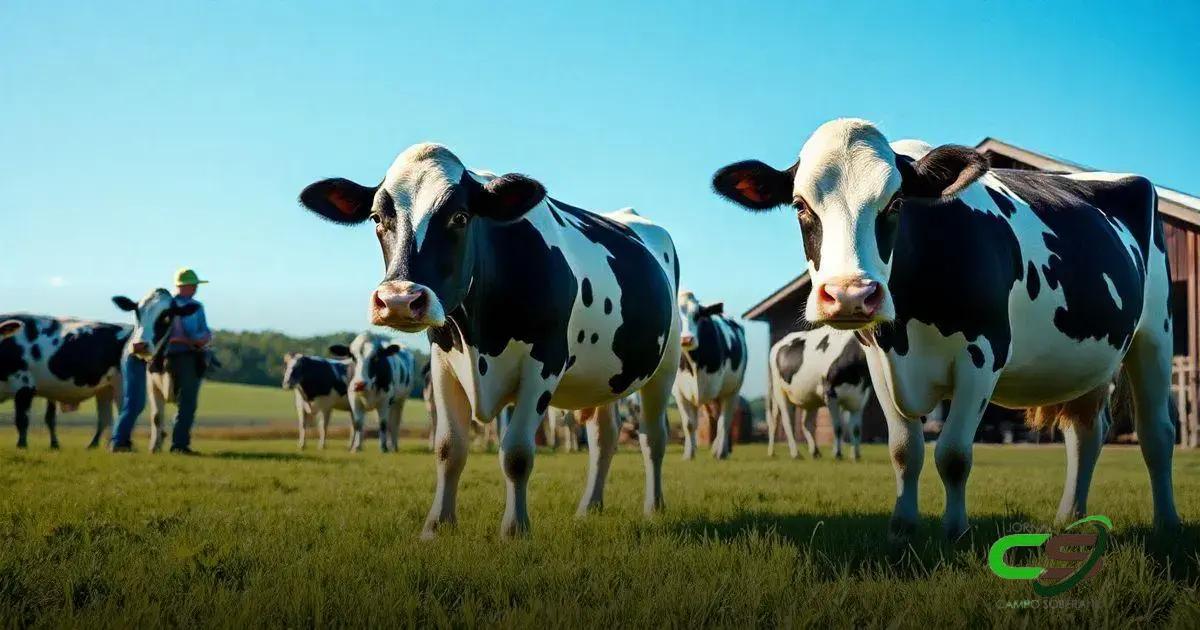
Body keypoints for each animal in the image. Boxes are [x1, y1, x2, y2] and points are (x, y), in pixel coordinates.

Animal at [0, 314, 130, 448]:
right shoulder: (49, 392)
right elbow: (50, 418)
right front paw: (54, 445)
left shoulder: (24, 386)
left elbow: (22, 419)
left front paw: (22, 445)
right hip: (105, 389)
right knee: (105, 418)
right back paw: (93, 445)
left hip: (122, 385)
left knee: (123, 413)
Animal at [112, 289, 202, 451]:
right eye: (137, 312)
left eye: (167, 316)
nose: (139, 345)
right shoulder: (151, 385)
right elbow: (156, 417)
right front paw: (154, 447)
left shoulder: (186, 386)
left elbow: (182, 414)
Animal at [298, 142, 680, 538]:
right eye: (376, 217)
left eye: (460, 217)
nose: (399, 300)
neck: (479, 335)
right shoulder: (442, 363)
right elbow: (448, 448)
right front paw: (436, 526)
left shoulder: (544, 364)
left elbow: (516, 453)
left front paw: (514, 530)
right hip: (604, 376)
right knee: (604, 439)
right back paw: (589, 508)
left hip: (665, 366)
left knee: (653, 437)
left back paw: (653, 507)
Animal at [673, 291, 747, 460]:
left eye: (697, 315)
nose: (686, 339)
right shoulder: (679, 392)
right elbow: (689, 424)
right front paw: (689, 454)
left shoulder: (720, 390)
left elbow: (721, 422)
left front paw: (719, 452)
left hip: (733, 390)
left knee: (725, 420)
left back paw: (721, 450)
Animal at [767, 329, 872, 460]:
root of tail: (778, 344)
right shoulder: (830, 393)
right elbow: (838, 427)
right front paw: (837, 453)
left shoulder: (860, 398)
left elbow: (856, 429)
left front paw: (855, 455)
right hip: (779, 392)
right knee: (785, 422)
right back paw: (794, 453)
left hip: (810, 397)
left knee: (806, 423)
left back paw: (814, 452)